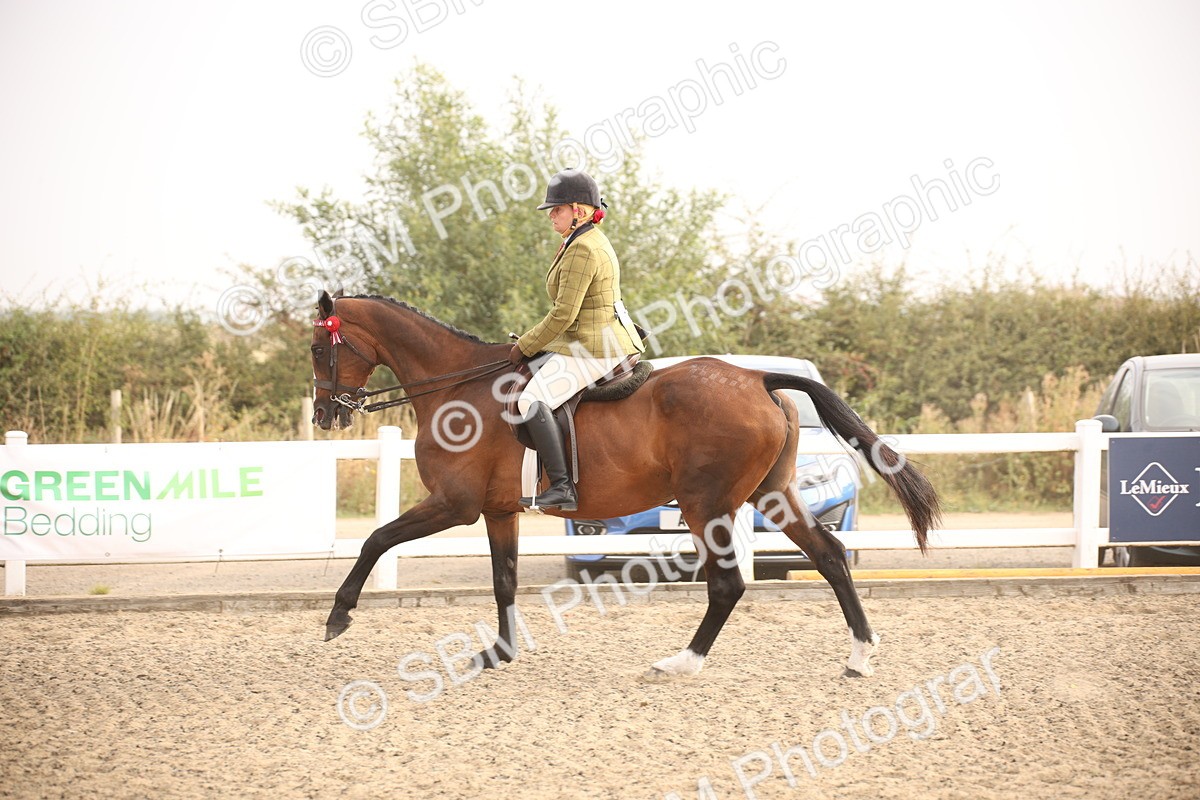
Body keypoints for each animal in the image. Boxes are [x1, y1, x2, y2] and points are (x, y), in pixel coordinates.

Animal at [310, 290, 940, 678]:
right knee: (830, 556)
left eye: (319, 348)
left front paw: (338, 616)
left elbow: (375, 539)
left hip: (706, 505)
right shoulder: (497, 511)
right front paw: (500, 653)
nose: (324, 416)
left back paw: (682, 662)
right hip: (772, 495)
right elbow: (503, 580)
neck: (456, 388)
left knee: (728, 584)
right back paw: (859, 656)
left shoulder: (453, 505)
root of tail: (758, 378)